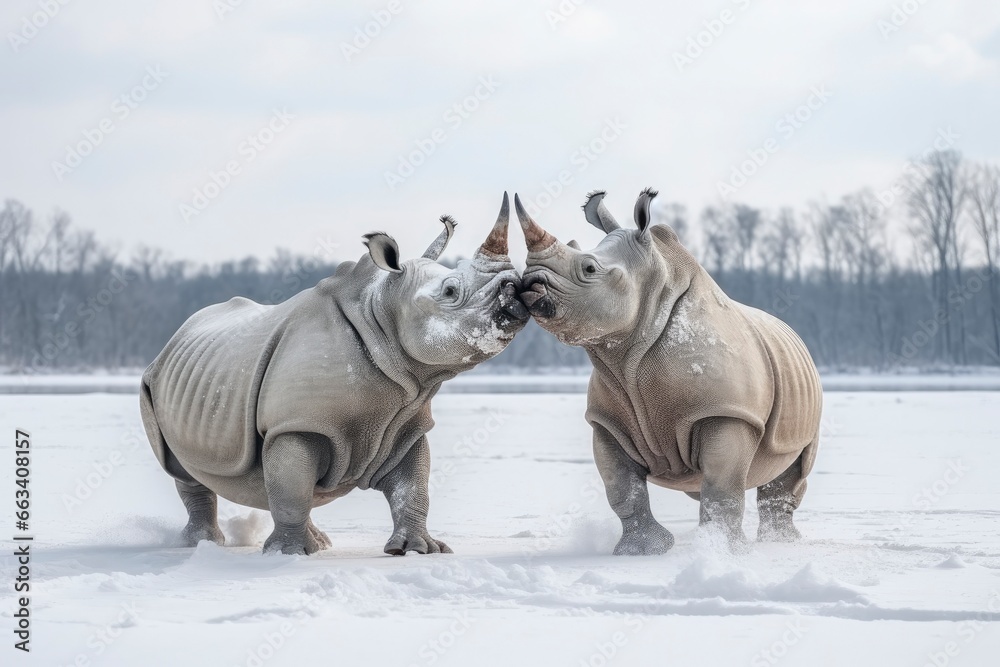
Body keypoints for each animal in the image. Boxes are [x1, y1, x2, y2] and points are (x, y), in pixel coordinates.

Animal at [140, 194, 528, 555]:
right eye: (450, 291)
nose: (514, 288)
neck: (383, 315)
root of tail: (173, 339)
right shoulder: (297, 421)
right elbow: (292, 488)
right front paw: (288, 554)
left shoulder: (406, 421)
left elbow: (413, 487)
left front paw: (418, 549)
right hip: (153, 381)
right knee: (184, 470)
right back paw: (201, 544)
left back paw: (320, 543)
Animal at [514, 189, 822, 554]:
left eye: (588, 267)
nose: (529, 281)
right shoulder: (607, 421)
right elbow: (622, 488)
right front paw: (643, 551)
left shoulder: (727, 411)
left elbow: (721, 488)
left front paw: (722, 550)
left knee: (793, 468)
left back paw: (782, 543)